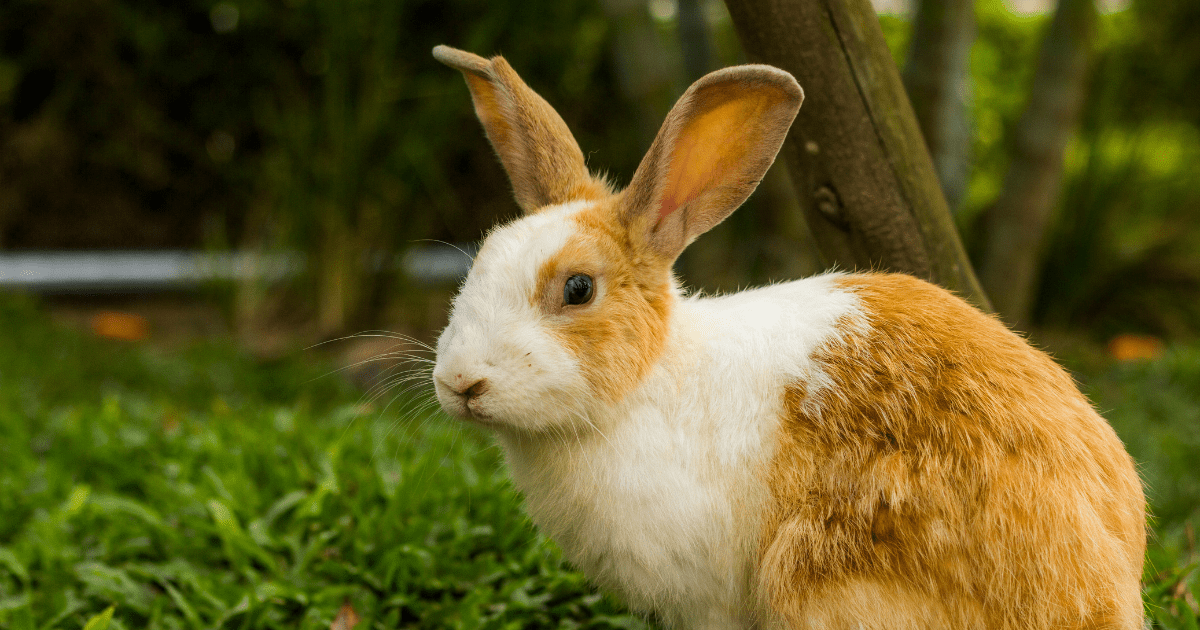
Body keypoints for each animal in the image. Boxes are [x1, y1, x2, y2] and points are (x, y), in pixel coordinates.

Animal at [429, 45, 1142, 628]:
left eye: (578, 289)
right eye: (481, 260)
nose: (460, 382)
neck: (647, 382)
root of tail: (1100, 597)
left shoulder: (709, 604)